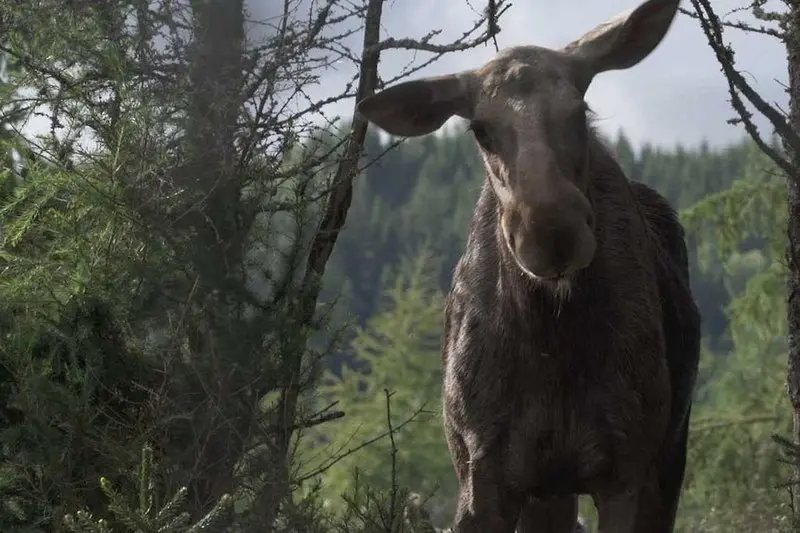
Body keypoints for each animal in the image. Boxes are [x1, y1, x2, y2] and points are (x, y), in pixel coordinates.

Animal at [355, 0, 701, 531]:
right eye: (480, 129)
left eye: (580, 108)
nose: (551, 234)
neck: (551, 339)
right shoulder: (484, 470)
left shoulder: (627, 467)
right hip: (548, 488)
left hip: (666, 455)